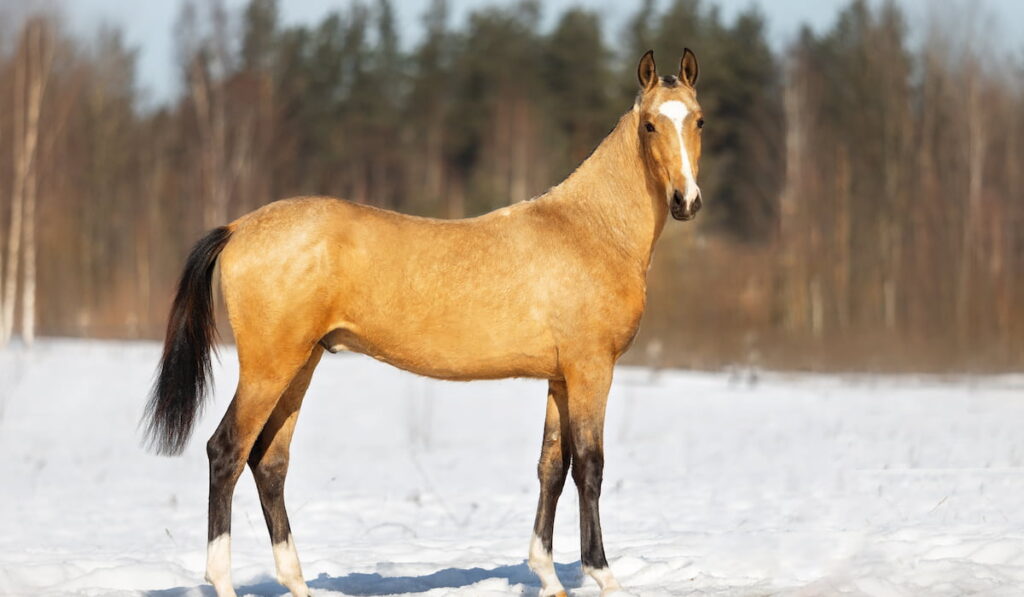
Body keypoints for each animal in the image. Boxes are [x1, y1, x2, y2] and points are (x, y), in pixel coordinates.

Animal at [144, 49, 704, 593]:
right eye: (650, 125)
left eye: (698, 119)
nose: (686, 201)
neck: (588, 228)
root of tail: (238, 227)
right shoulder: (592, 370)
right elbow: (589, 466)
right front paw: (601, 573)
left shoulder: (560, 378)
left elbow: (551, 467)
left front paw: (546, 575)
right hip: (268, 367)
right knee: (226, 452)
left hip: (300, 366)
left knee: (269, 463)